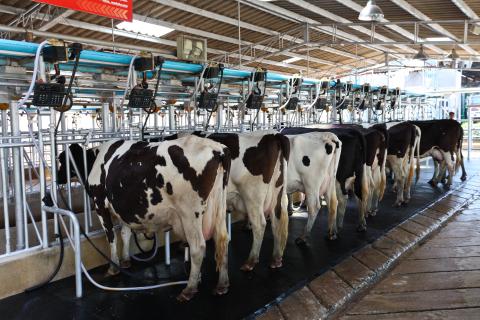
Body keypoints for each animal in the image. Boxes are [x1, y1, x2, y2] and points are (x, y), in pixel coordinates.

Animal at [56, 136, 232, 302]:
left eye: (62, 160)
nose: (57, 179)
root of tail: (218, 149)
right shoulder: (123, 209)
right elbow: (125, 234)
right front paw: (126, 260)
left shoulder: (100, 204)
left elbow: (111, 237)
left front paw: (113, 267)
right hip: (219, 205)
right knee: (222, 239)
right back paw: (222, 285)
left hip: (189, 212)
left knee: (198, 247)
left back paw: (189, 288)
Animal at [181, 131, 288, 272]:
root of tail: (274, 135)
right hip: (277, 190)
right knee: (276, 219)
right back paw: (276, 258)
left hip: (252, 195)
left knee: (259, 224)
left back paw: (251, 261)